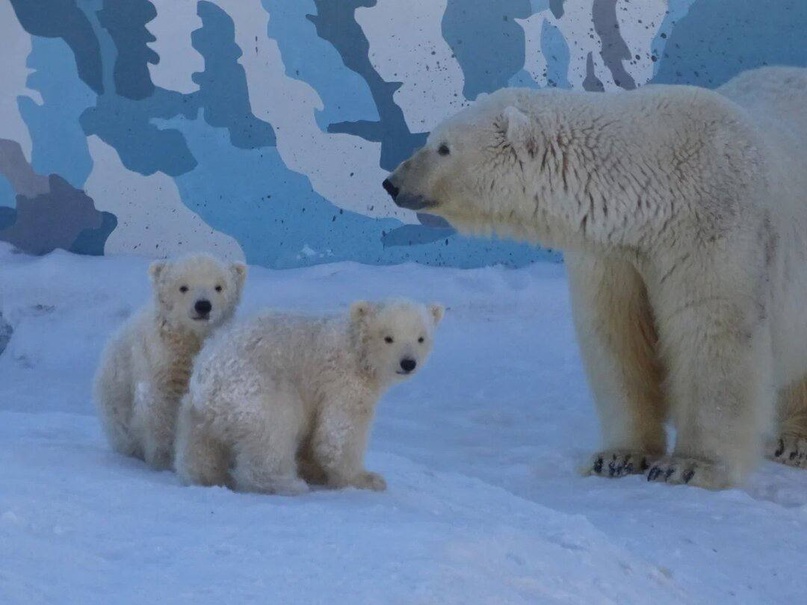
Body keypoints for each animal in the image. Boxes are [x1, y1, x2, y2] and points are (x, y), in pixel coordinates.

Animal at [382, 67, 807, 490]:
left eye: (443, 148)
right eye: (433, 140)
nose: (391, 183)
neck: (653, 185)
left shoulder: (713, 227)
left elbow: (713, 332)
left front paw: (689, 465)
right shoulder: (613, 253)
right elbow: (617, 336)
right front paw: (617, 457)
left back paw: (794, 443)